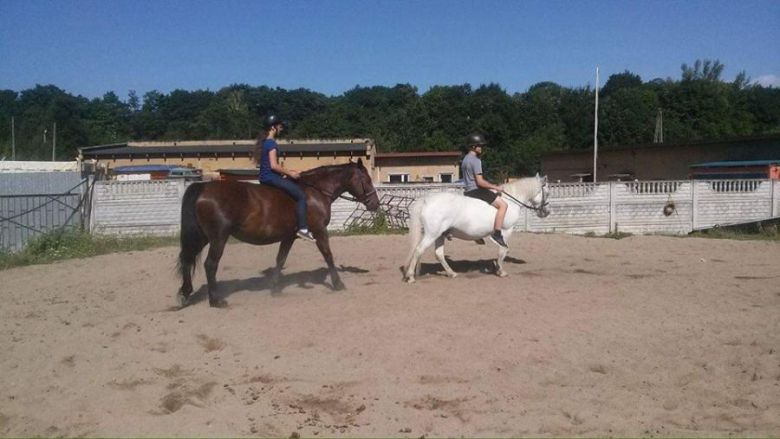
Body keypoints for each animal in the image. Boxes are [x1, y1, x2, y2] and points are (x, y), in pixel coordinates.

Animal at [177, 160, 384, 308]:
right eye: (366, 180)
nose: (375, 204)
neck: (315, 191)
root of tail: (204, 187)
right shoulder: (319, 230)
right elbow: (328, 255)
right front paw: (338, 283)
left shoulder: (288, 237)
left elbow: (280, 259)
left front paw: (275, 287)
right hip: (218, 237)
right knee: (210, 265)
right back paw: (216, 300)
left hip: (203, 237)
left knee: (187, 259)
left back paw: (186, 293)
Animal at [406, 174, 552, 284]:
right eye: (547, 193)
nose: (547, 212)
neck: (510, 200)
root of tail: (426, 200)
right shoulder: (506, 231)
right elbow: (503, 250)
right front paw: (501, 271)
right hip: (432, 234)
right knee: (418, 250)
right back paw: (410, 276)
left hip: (440, 235)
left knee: (439, 254)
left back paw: (451, 273)